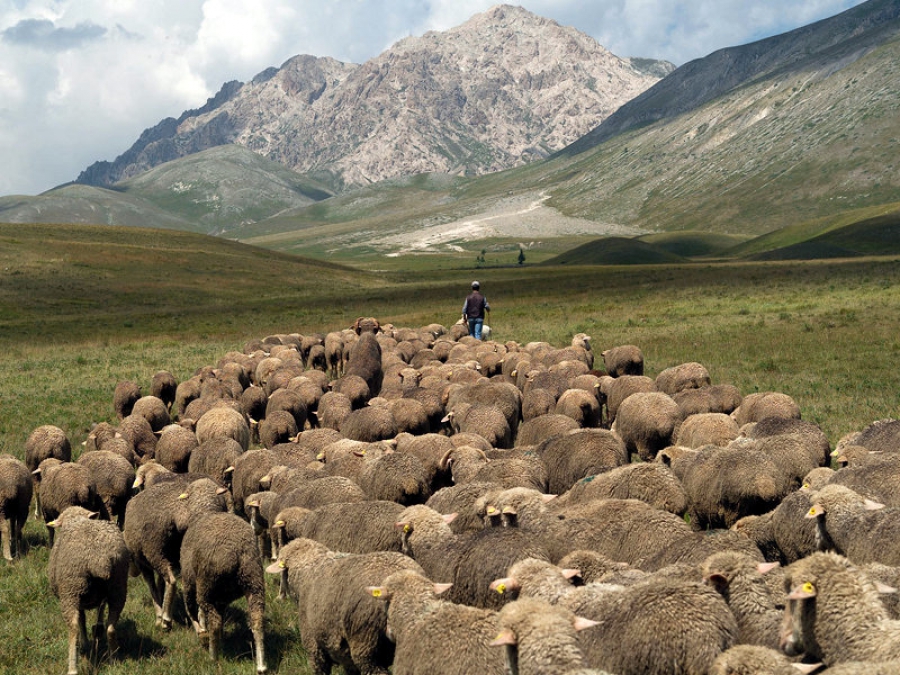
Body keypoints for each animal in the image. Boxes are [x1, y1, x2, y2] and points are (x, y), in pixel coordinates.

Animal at [47, 508, 129, 675]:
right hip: (118, 586)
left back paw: (73, 668)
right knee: (111, 626)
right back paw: (114, 659)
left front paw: (85, 643)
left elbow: (82, 620)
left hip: (70, 592)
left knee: (74, 629)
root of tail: (100, 560)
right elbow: (97, 613)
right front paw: (96, 630)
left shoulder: (77, 597)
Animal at [122, 476, 229, 628]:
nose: (132, 574)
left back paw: (166, 619)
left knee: (171, 581)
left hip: (155, 549)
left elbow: (152, 587)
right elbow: (159, 584)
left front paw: (158, 614)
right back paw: (201, 621)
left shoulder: (143, 564)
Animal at [180, 512, 266, 672]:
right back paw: (261, 665)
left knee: (214, 621)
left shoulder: (189, 582)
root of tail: (238, 551)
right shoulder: (221, 599)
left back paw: (212, 657)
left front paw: (203, 635)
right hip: (254, 582)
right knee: (257, 621)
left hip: (205, 586)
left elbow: (191, 612)